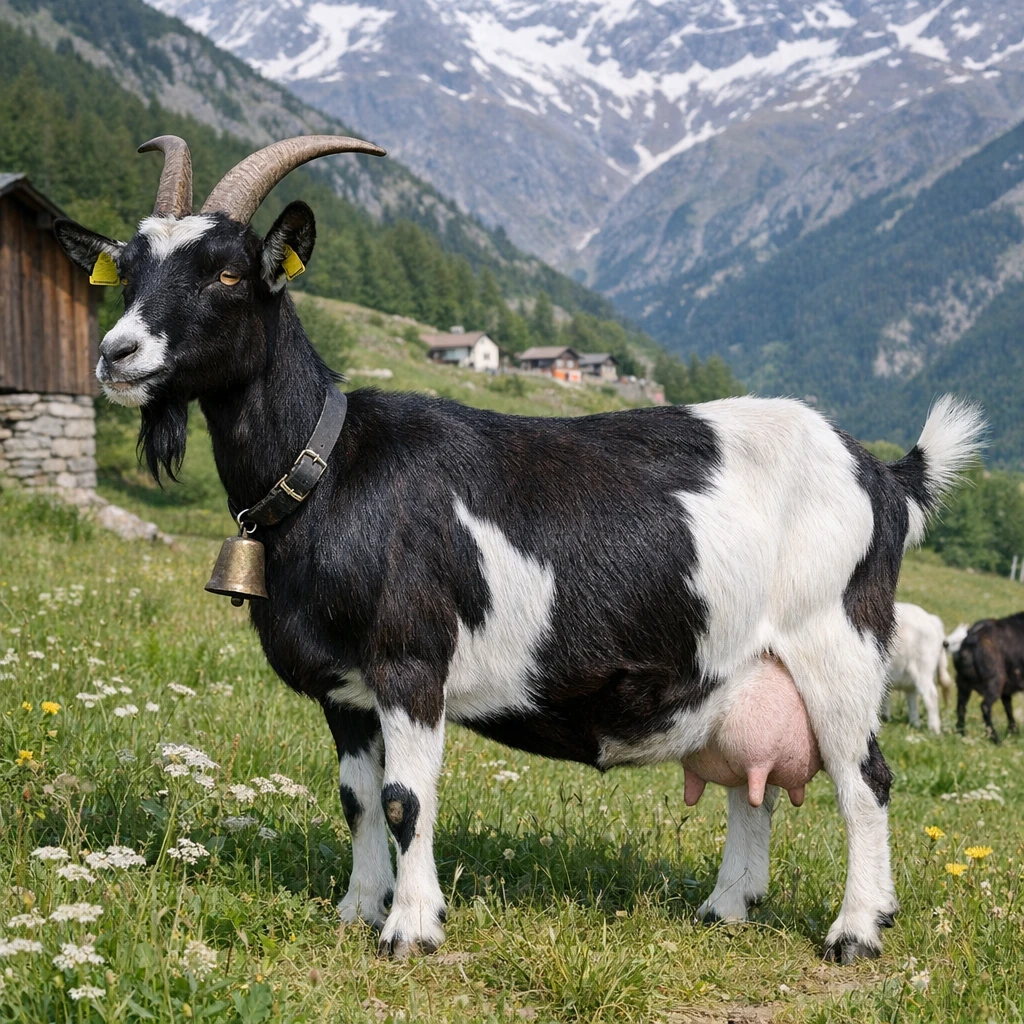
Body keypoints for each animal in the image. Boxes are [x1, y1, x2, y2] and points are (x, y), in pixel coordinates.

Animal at [881, 602, 952, 732]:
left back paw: (933, 729)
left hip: (923, 668)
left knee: (930, 696)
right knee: (912, 698)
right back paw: (914, 723)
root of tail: (931, 619)